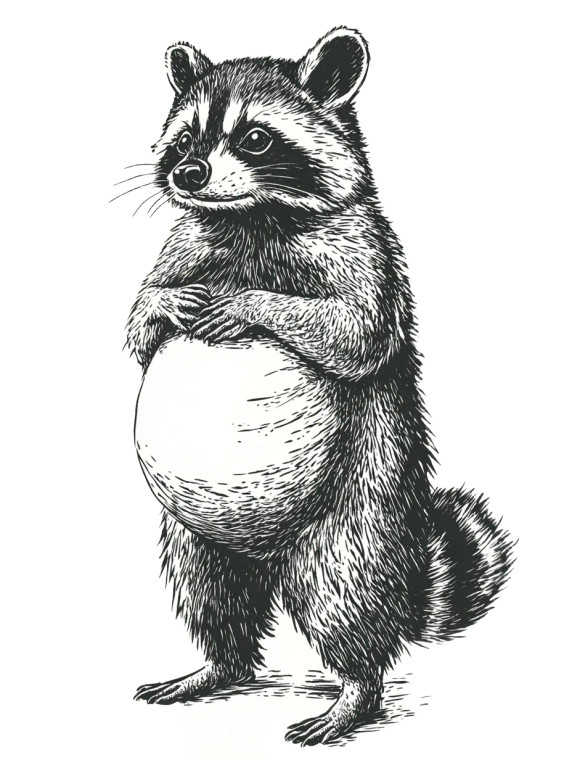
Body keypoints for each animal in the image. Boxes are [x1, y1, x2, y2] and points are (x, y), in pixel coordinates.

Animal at [126, 28, 513, 745]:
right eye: (186, 138)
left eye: (255, 138)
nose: (188, 174)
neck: (250, 214)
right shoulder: (181, 245)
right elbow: (139, 327)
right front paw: (158, 307)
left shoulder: (365, 252)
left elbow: (353, 332)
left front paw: (253, 302)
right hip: (196, 534)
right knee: (211, 595)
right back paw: (216, 666)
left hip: (352, 523)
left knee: (345, 602)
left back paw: (355, 691)